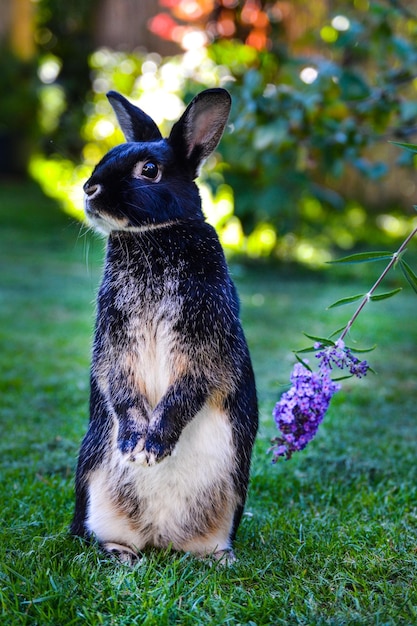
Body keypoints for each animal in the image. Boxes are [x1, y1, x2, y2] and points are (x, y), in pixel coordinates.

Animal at [71, 86, 256, 560]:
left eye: (149, 170)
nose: (89, 188)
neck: (154, 236)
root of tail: (161, 538)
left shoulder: (205, 344)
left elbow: (185, 393)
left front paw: (153, 448)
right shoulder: (114, 344)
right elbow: (120, 387)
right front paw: (134, 446)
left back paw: (220, 560)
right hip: (95, 491)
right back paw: (123, 557)